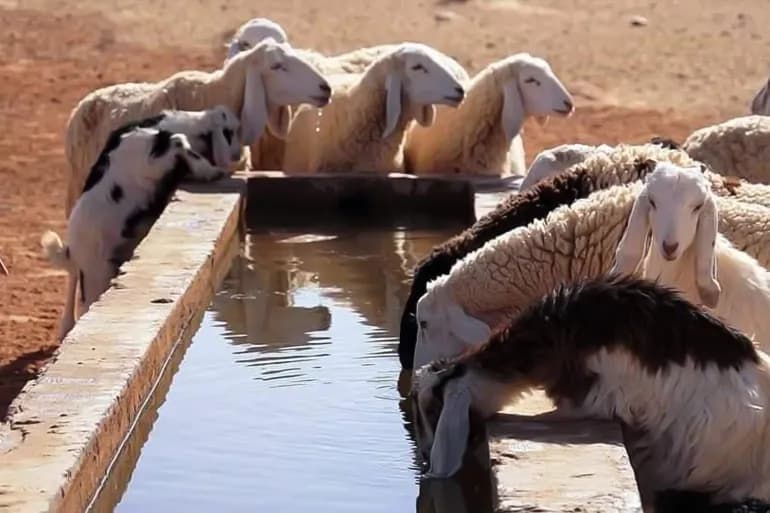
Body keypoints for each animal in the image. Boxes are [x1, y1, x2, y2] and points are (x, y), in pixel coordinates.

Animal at [43, 124, 228, 341]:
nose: (220, 172)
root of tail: (73, 250)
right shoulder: (154, 160)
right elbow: (180, 144)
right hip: (96, 273)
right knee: (85, 305)